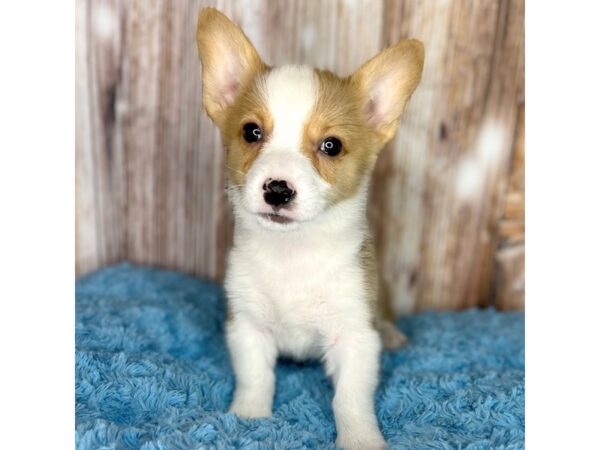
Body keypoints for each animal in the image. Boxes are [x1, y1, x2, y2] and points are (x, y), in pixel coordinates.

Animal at [196, 7, 422, 450]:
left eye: (331, 145)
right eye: (251, 131)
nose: (277, 189)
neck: (293, 253)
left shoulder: (354, 337)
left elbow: (350, 400)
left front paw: (361, 440)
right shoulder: (247, 327)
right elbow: (255, 379)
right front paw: (248, 419)